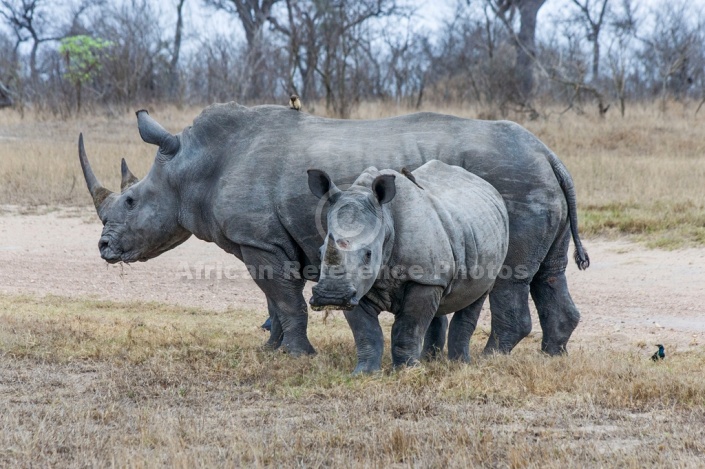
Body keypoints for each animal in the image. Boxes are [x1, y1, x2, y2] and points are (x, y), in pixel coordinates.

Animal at [308, 159, 506, 372]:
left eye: (369, 254)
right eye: (320, 252)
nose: (332, 297)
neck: (386, 221)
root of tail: (487, 185)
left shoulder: (423, 279)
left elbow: (408, 328)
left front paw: (406, 371)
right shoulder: (357, 287)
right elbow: (365, 332)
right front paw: (365, 373)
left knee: (477, 295)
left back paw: (459, 364)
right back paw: (430, 361)